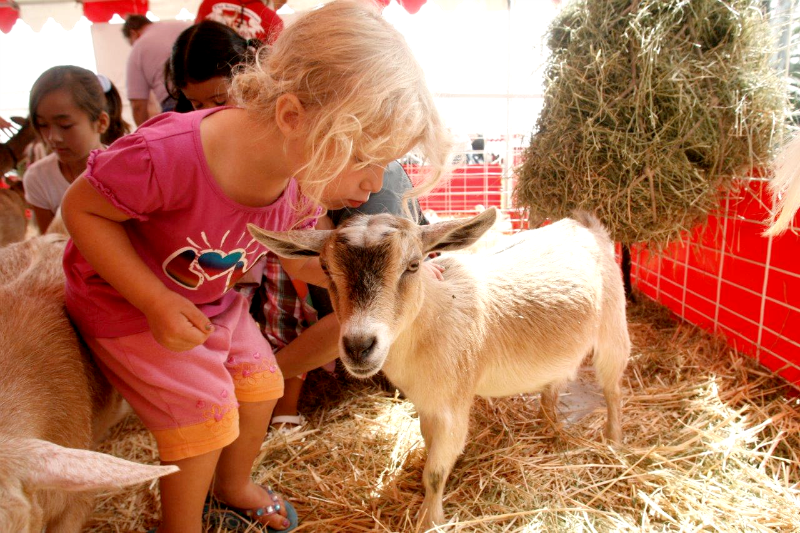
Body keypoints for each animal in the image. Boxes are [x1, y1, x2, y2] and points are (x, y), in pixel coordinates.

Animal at [250, 208, 632, 528]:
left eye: (413, 265)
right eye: (326, 269)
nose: (359, 346)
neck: (430, 318)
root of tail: (583, 223)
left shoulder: (453, 406)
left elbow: (435, 471)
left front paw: (428, 519)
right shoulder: (425, 402)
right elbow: (429, 444)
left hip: (613, 328)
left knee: (614, 390)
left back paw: (614, 440)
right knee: (553, 387)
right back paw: (549, 429)